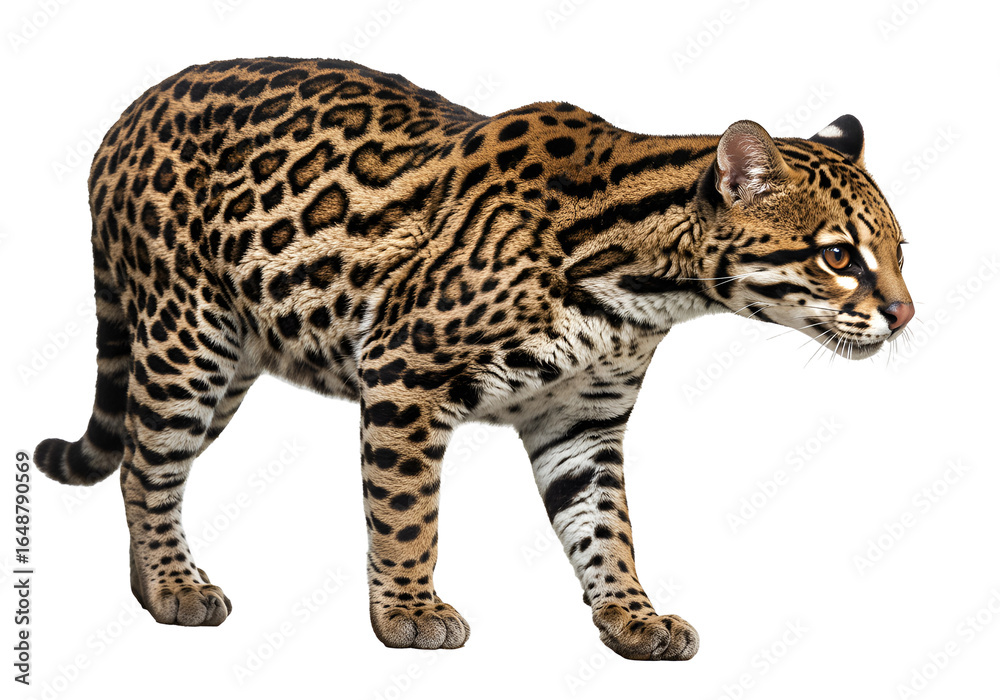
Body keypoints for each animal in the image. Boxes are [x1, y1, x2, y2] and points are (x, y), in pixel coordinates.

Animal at [34, 57, 912, 660]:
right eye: (839, 256)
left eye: (902, 252)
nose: (906, 315)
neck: (646, 287)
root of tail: (128, 113)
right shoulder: (403, 372)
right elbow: (406, 511)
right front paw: (409, 612)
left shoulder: (583, 424)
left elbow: (607, 525)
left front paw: (631, 614)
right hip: (188, 341)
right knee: (148, 468)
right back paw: (174, 587)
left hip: (225, 364)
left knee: (139, 459)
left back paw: (153, 583)